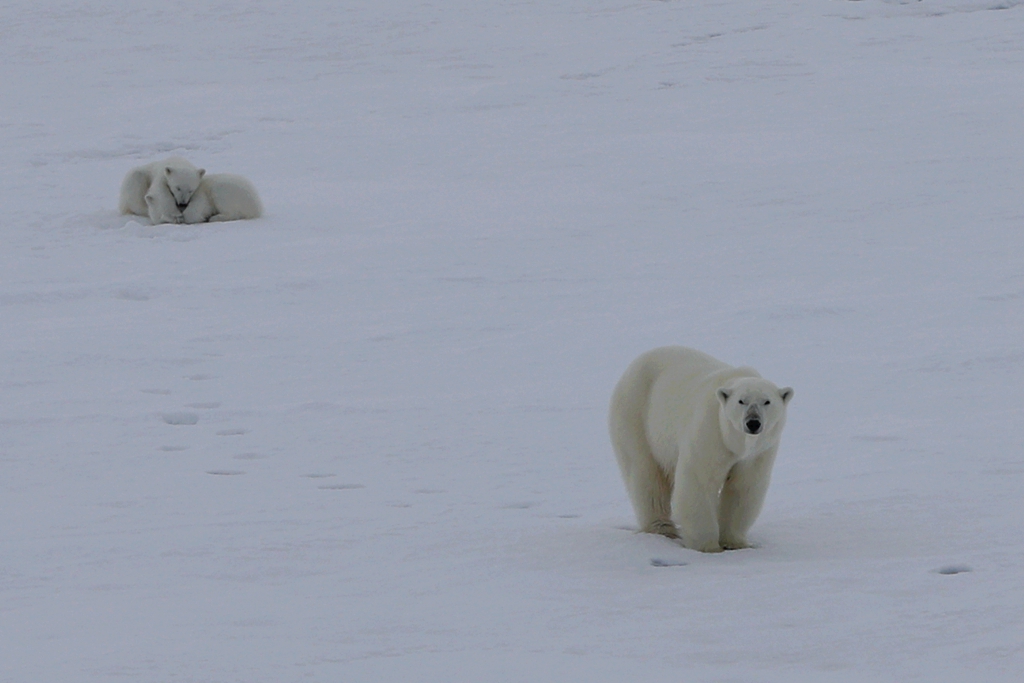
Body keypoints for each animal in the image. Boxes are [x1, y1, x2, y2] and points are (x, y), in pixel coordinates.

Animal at [606, 350, 790, 552]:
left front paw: (735, 542)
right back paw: (662, 528)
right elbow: (699, 482)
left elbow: (743, 486)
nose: (753, 422)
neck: (736, 443)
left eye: (767, 401)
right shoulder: (711, 432)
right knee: (646, 474)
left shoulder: (757, 453)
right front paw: (708, 546)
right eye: (741, 401)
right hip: (637, 416)